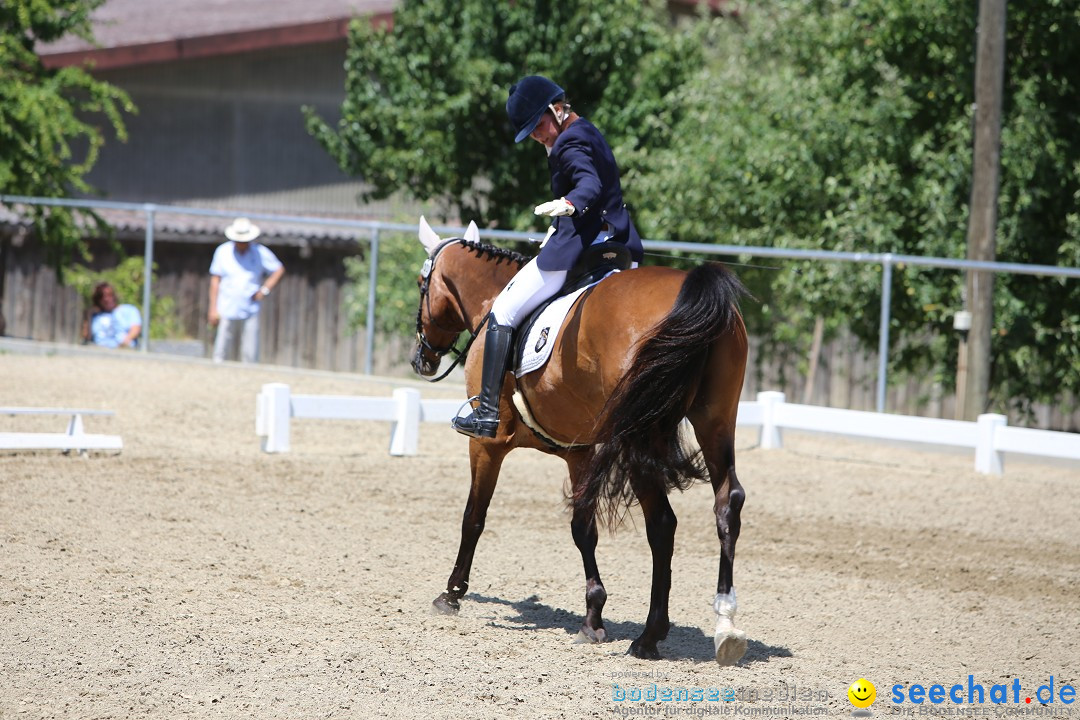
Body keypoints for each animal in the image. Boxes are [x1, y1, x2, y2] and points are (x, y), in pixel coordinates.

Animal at [410, 218, 751, 664]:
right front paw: (593, 617)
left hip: (640, 436)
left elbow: (474, 517)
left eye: (422, 283)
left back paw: (649, 637)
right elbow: (582, 529)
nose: (421, 360)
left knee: (662, 523)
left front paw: (451, 594)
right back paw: (725, 627)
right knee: (727, 504)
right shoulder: (579, 453)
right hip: (714, 422)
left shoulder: (487, 446)